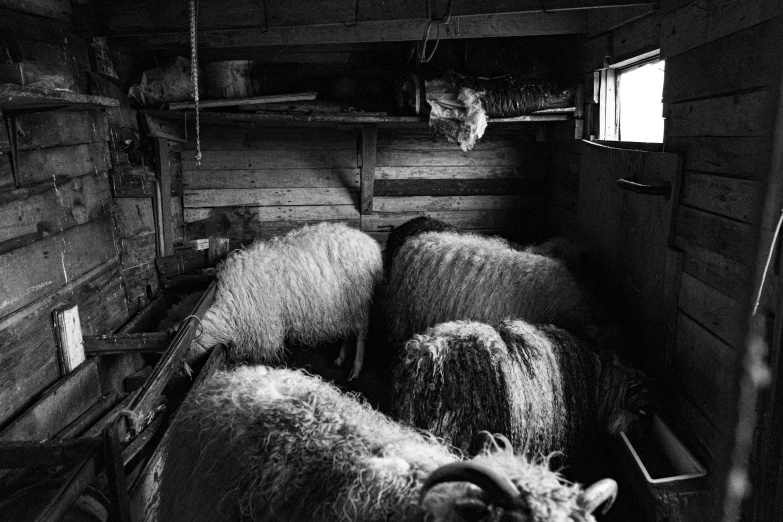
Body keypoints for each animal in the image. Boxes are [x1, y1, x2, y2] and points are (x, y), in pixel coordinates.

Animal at [190, 219, 386, 378]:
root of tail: (370, 244)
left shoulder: (264, 330)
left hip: (359, 297)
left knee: (360, 330)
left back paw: (356, 367)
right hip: (347, 304)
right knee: (350, 329)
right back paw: (341, 357)